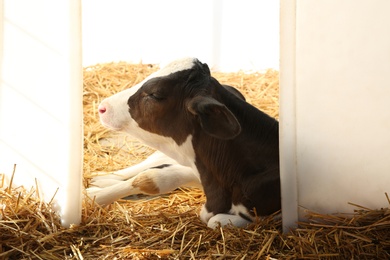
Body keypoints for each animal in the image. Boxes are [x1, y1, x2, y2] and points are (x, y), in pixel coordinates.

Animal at [88, 58, 280, 229]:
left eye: (155, 94)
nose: (103, 107)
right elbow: (150, 177)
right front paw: (92, 196)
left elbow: (216, 221)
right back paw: (100, 179)